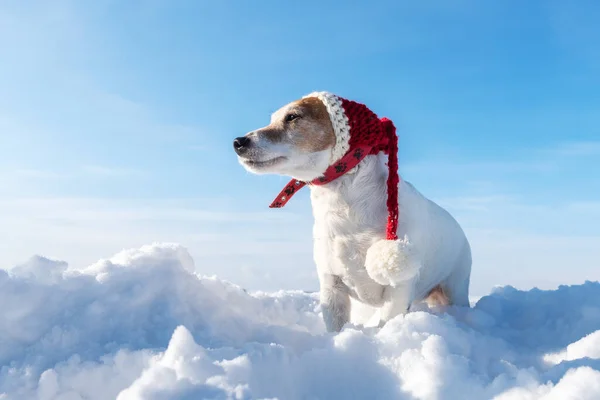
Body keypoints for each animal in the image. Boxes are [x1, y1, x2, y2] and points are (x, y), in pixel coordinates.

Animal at [232, 91, 472, 332]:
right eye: (272, 119)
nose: (238, 142)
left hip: (455, 289)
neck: (345, 208)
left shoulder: (399, 289)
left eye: (292, 116)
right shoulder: (331, 285)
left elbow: (386, 321)